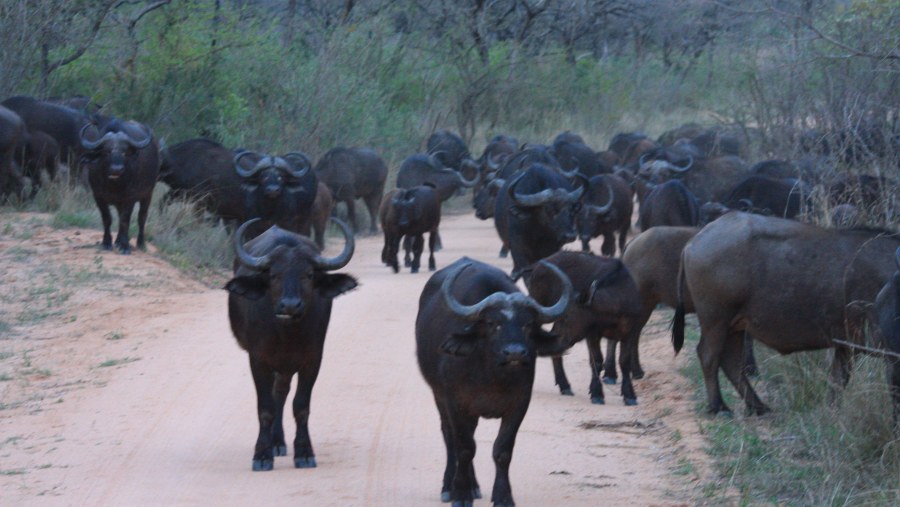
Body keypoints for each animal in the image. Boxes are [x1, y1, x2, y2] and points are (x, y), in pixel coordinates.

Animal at [80, 119, 159, 254]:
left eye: (124, 152)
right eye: (107, 151)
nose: (117, 169)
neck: (114, 185)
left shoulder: (130, 198)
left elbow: (124, 220)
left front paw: (124, 245)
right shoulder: (98, 196)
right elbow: (107, 218)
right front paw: (107, 242)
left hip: (148, 194)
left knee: (141, 217)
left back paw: (140, 243)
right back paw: (117, 241)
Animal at [227, 218, 356, 472]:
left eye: (308, 274)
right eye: (274, 275)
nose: (290, 305)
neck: (286, 333)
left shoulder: (312, 360)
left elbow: (301, 406)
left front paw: (304, 453)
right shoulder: (258, 360)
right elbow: (265, 408)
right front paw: (262, 455)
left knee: (281, 393)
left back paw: (278, 441)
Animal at [414, 260, 568, 506]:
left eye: (527, 324)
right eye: (492, 323)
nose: (515, 352)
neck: (492, 375)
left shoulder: (519, 404)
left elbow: (502, 451)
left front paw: (503, 496)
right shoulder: (456, 403)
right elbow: (464, 448)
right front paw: (460, 494)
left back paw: (474, 485)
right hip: (439, 396)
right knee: (450, 438)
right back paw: (449, 485)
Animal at [532, 252, 644, 406]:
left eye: (566, 317)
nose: (557, 340)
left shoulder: (629, 333)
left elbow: (624, 362)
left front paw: (629, 395)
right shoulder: (592, 335)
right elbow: (596, 361)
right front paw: (597, 393)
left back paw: (564, 385)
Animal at [676, 212, 900, 414]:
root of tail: (694, 242)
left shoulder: (846, 344)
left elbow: (838, 379)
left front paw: (832, 412)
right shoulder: (888, 351)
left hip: (735, 325)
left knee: (731, 361)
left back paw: (757, 406)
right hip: (716, 320)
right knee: (709, 355)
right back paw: (718, 407)